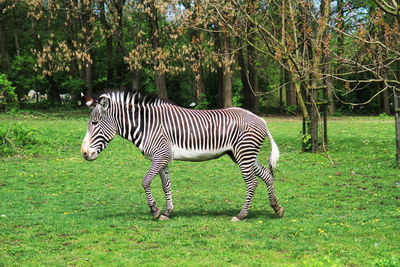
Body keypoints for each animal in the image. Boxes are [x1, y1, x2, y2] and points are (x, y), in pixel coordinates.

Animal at [80, 90, 284, 222]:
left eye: (95, 123)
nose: (84, 153)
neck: (146, 125)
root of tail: (261, 120)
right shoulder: (163, 159)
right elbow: (166, 185)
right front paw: (167, 212)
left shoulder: (160, 155)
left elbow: (145, 181)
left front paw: (155, 210)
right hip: (242, 155)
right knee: (267, 175)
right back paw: (276, 207)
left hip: (244, 154)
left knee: (252, 183)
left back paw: (242, 215)